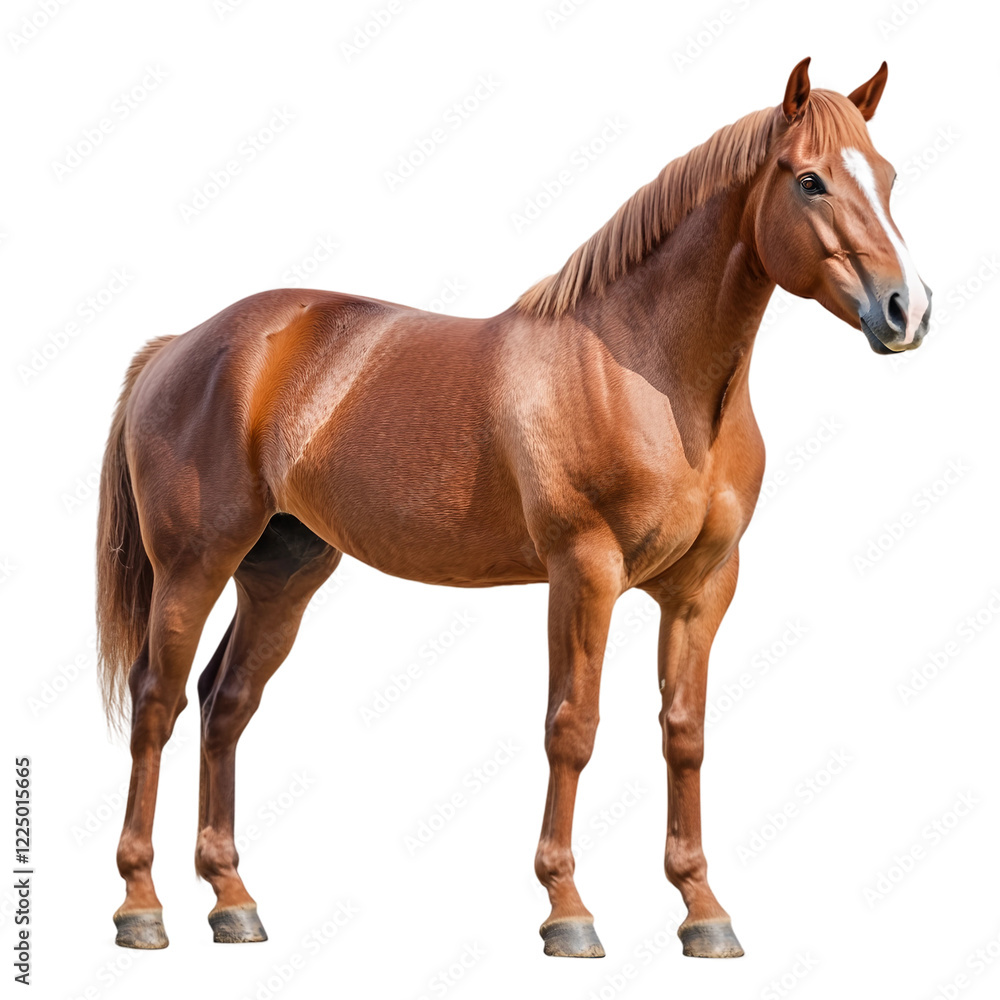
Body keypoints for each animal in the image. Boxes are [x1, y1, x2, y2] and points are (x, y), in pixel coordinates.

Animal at [96, 57, 931, 958]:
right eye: (809, 180)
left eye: (887, 176)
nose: (907, 310)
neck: (646, 373)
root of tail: (180, 347)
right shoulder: (584, 573)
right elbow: (573, 727)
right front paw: (568, 910)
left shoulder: (704, 587)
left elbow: (685, 734)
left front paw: (703, 911)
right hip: (194, 565)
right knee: (159, 702)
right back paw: (140, 905)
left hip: (281, 573)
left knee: (226, 703)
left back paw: (232, 900)